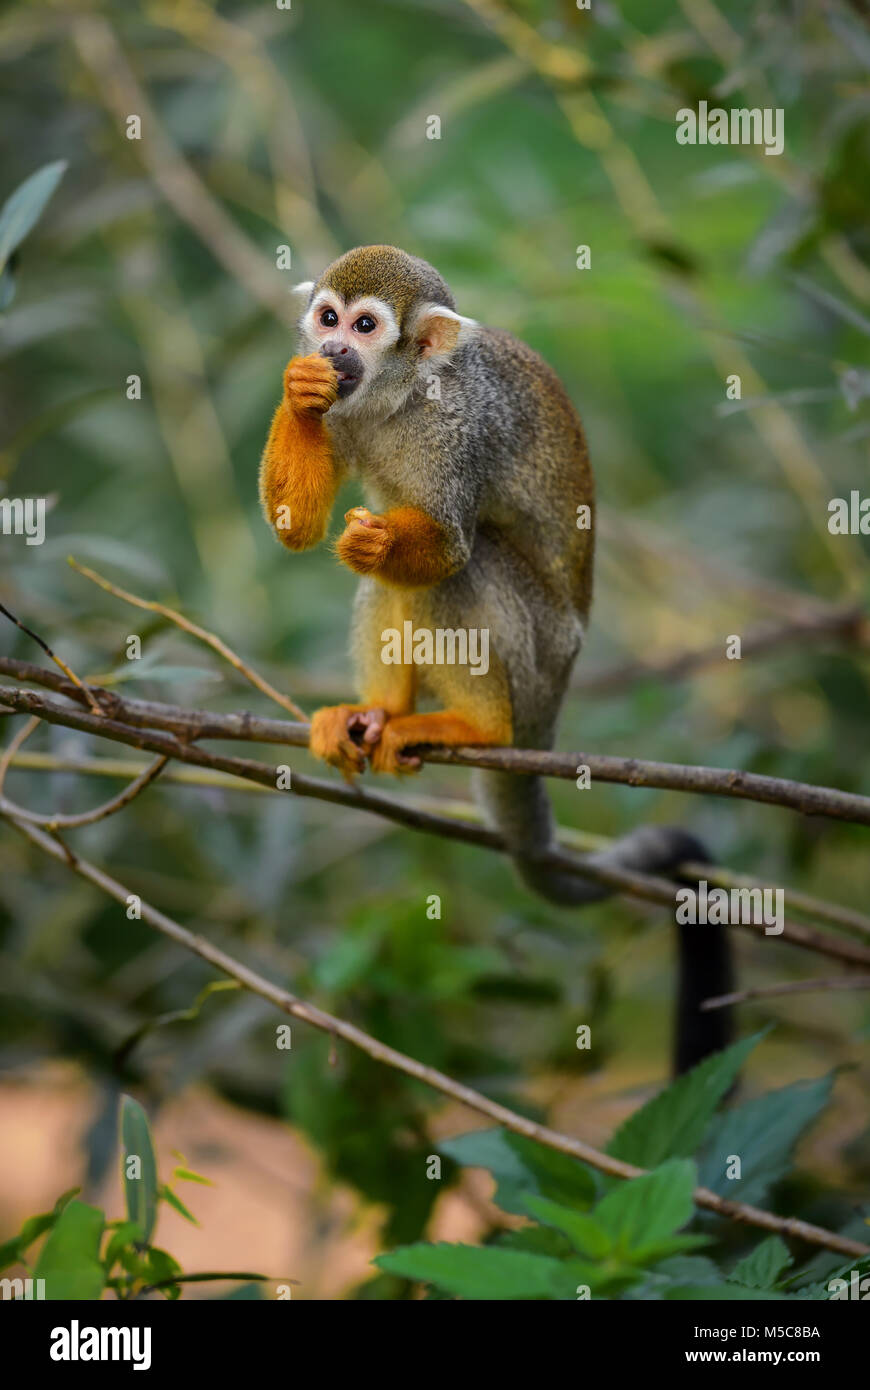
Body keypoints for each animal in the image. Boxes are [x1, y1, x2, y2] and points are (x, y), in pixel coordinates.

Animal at [258, 247, 733, 1073]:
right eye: (326, 319)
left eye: (365, 326)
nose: (333, 351)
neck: (397, 398)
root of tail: (552, 707)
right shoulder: (348, 412)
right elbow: (299, 528)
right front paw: (300, 390)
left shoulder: (461, 427)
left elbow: (448, 548)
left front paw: (381, 539)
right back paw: (379, 713)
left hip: (536, 653)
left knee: (465, 566)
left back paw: (478, 728)